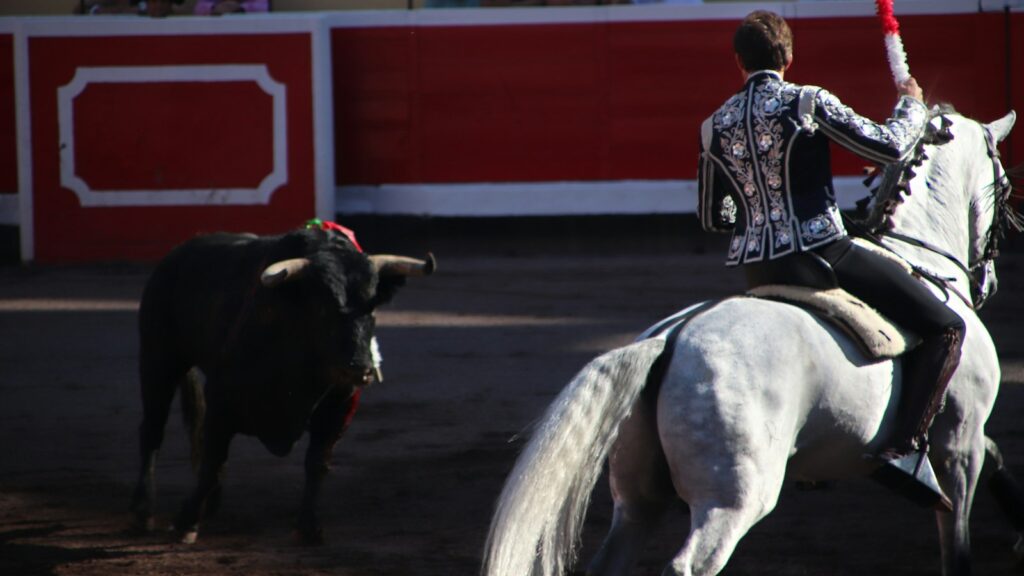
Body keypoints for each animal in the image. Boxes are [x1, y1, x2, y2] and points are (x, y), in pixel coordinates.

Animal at [481, 109, 1019, 576]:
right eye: (1006, 183)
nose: (989, 282)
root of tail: (671, 338)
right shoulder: (958, 441)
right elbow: (958, 537)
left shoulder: (958, 441)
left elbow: (996, 453)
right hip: (735, 497)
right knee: (688, 564)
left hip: (637, 498)